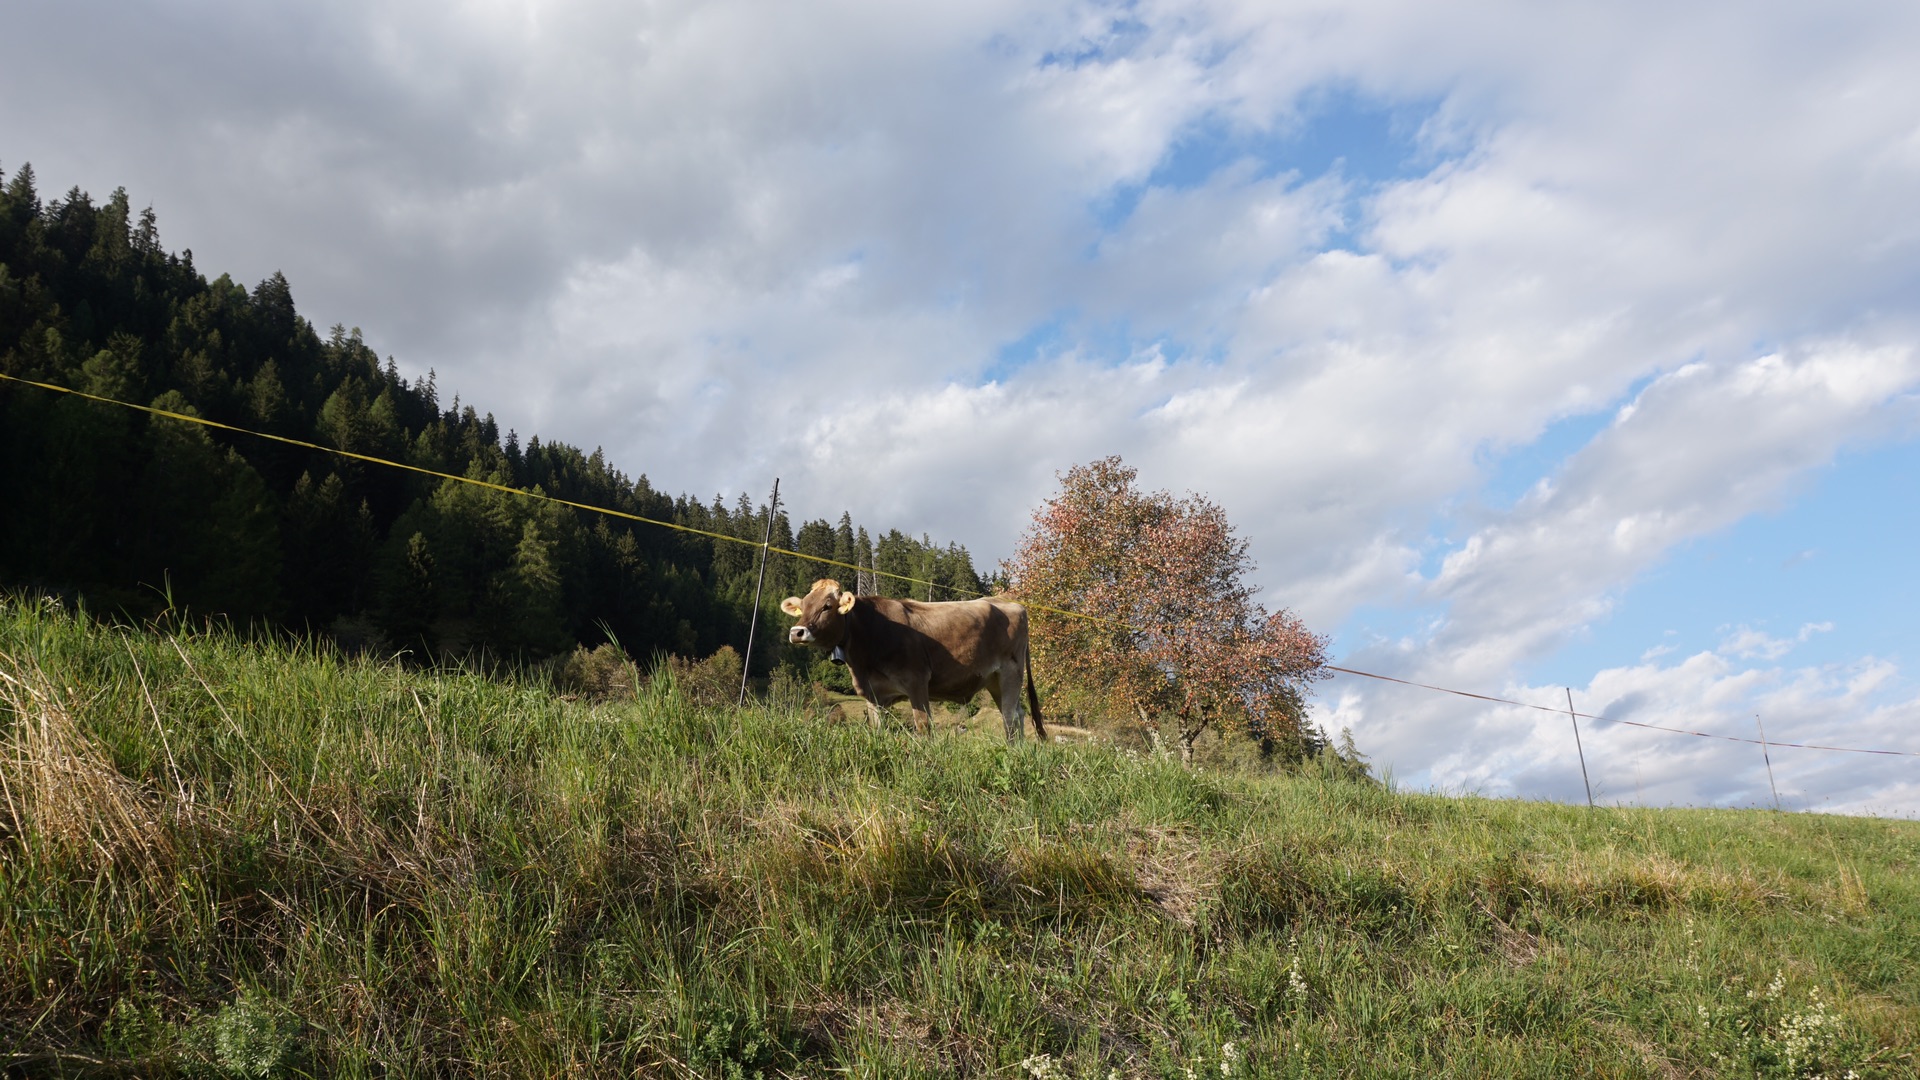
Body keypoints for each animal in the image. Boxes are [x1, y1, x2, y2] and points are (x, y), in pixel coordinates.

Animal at [779, 580, 1052, 737]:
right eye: (803, 605)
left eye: (827, 606)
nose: (796, 632)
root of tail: (1013, 604)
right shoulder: (873, 694)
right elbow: (877, 729)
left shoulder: (917, 681)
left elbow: (923, 727)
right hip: (994, 680)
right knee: (1017, 714)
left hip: (1010, 672)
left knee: (1010, 717)